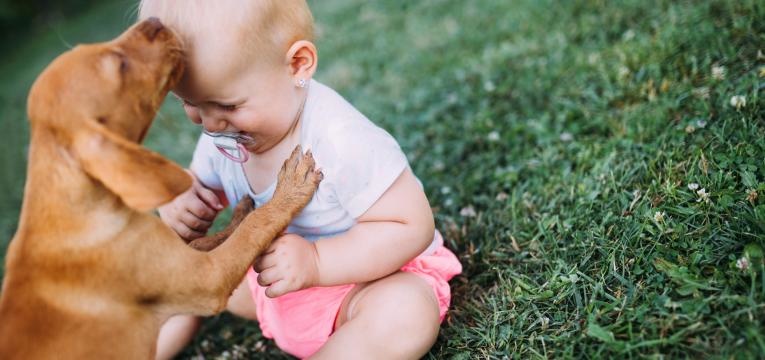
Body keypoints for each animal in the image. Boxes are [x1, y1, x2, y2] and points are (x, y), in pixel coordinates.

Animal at [0, 17, 320, 360]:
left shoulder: (186, 258)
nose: (153, 22)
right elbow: (253, 229)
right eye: (120, 65)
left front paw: (240, 211)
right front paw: (289, 191)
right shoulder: (209, 278)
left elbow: (215, 236)